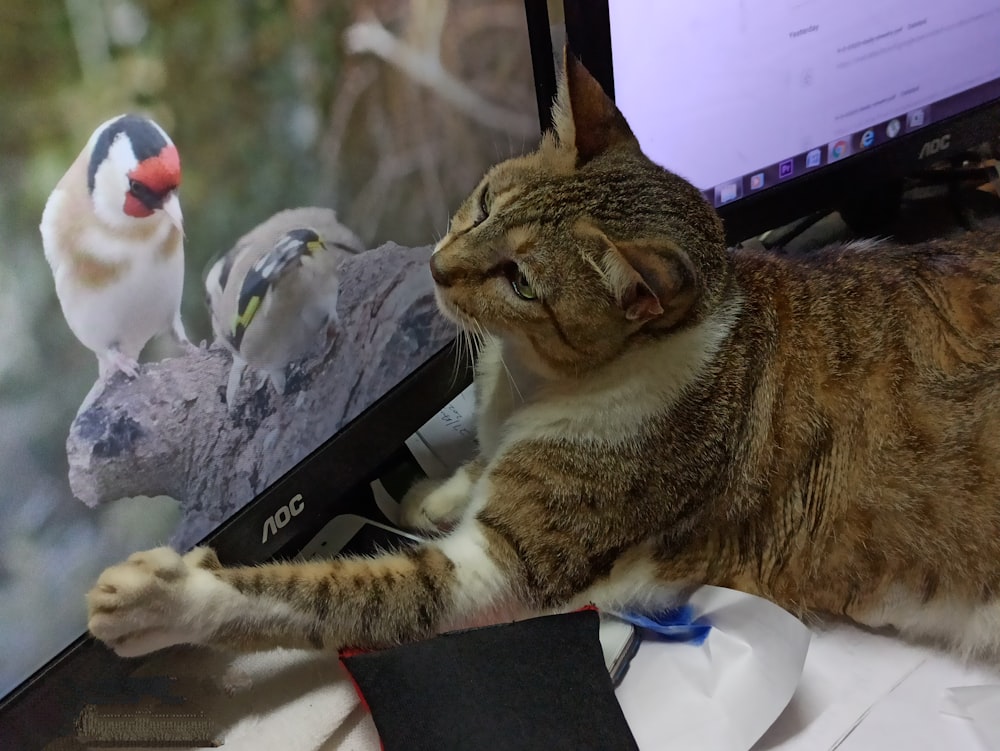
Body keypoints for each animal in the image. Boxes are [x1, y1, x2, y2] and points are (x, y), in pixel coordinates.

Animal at [86, 54, 1000, 664]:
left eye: (521, 279)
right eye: (488, 199)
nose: (438, 267)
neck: (527, 381)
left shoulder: (499, 575)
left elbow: (327, 593)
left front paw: (169, 598)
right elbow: (471, 471)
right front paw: (440, 489)